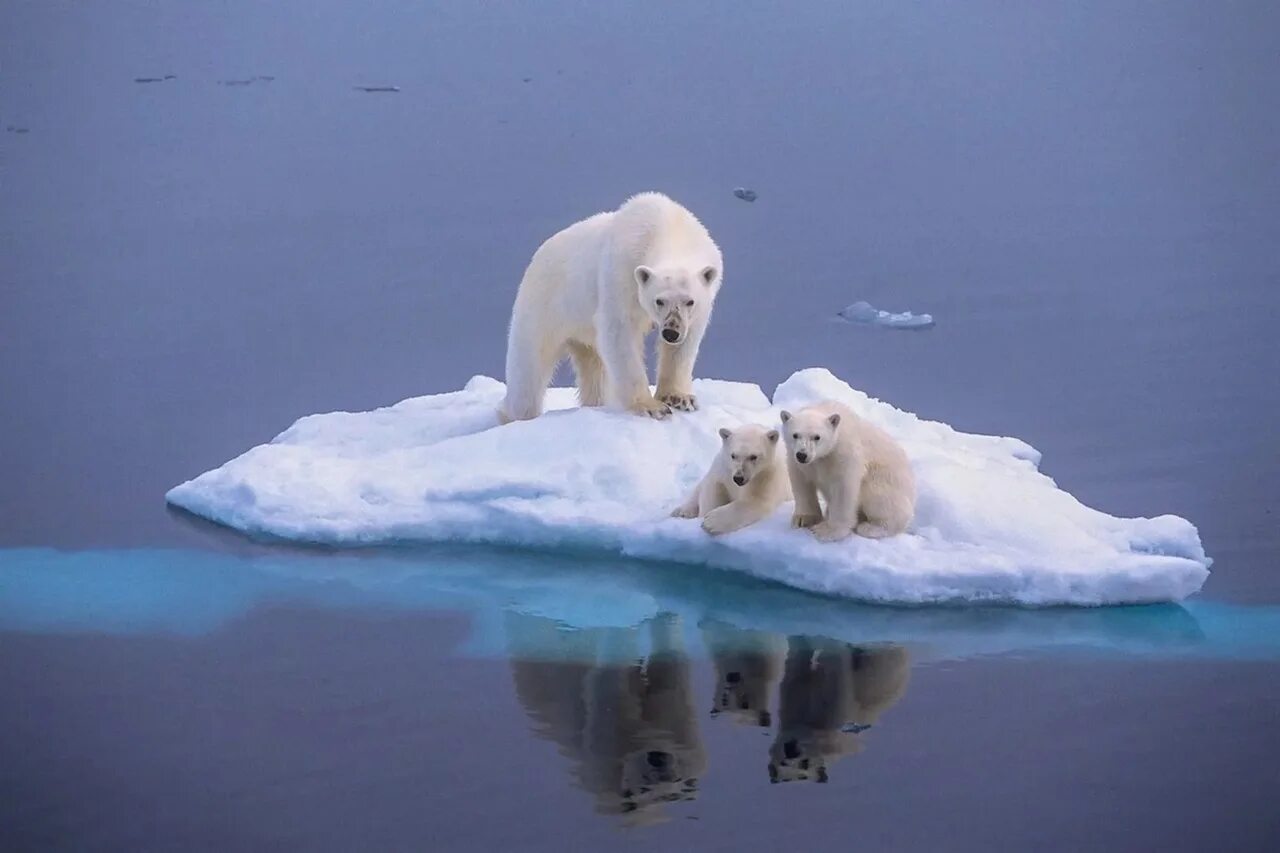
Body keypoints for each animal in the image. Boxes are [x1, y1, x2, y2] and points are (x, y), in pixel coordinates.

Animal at [496, 190, 721, 420]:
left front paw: (680, 398)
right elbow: (619, 333)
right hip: (544, 307)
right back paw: (514, 415)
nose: (670, 332)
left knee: (593, 368)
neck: (669, 228)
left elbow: (684, 345)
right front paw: (651, 406)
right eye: (659, 300)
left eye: (690, 301)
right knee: (528, 370)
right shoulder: (621, 273)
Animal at [773, 399, 916, 537]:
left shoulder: (843, 452)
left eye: (817, 437)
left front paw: (827, 531)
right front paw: (803, 519)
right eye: (795, 435)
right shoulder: (798, 460)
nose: (802, 455)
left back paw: (871, 528)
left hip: (885, 482)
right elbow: (801, 482)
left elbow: (843, 487)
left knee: (882, 500)